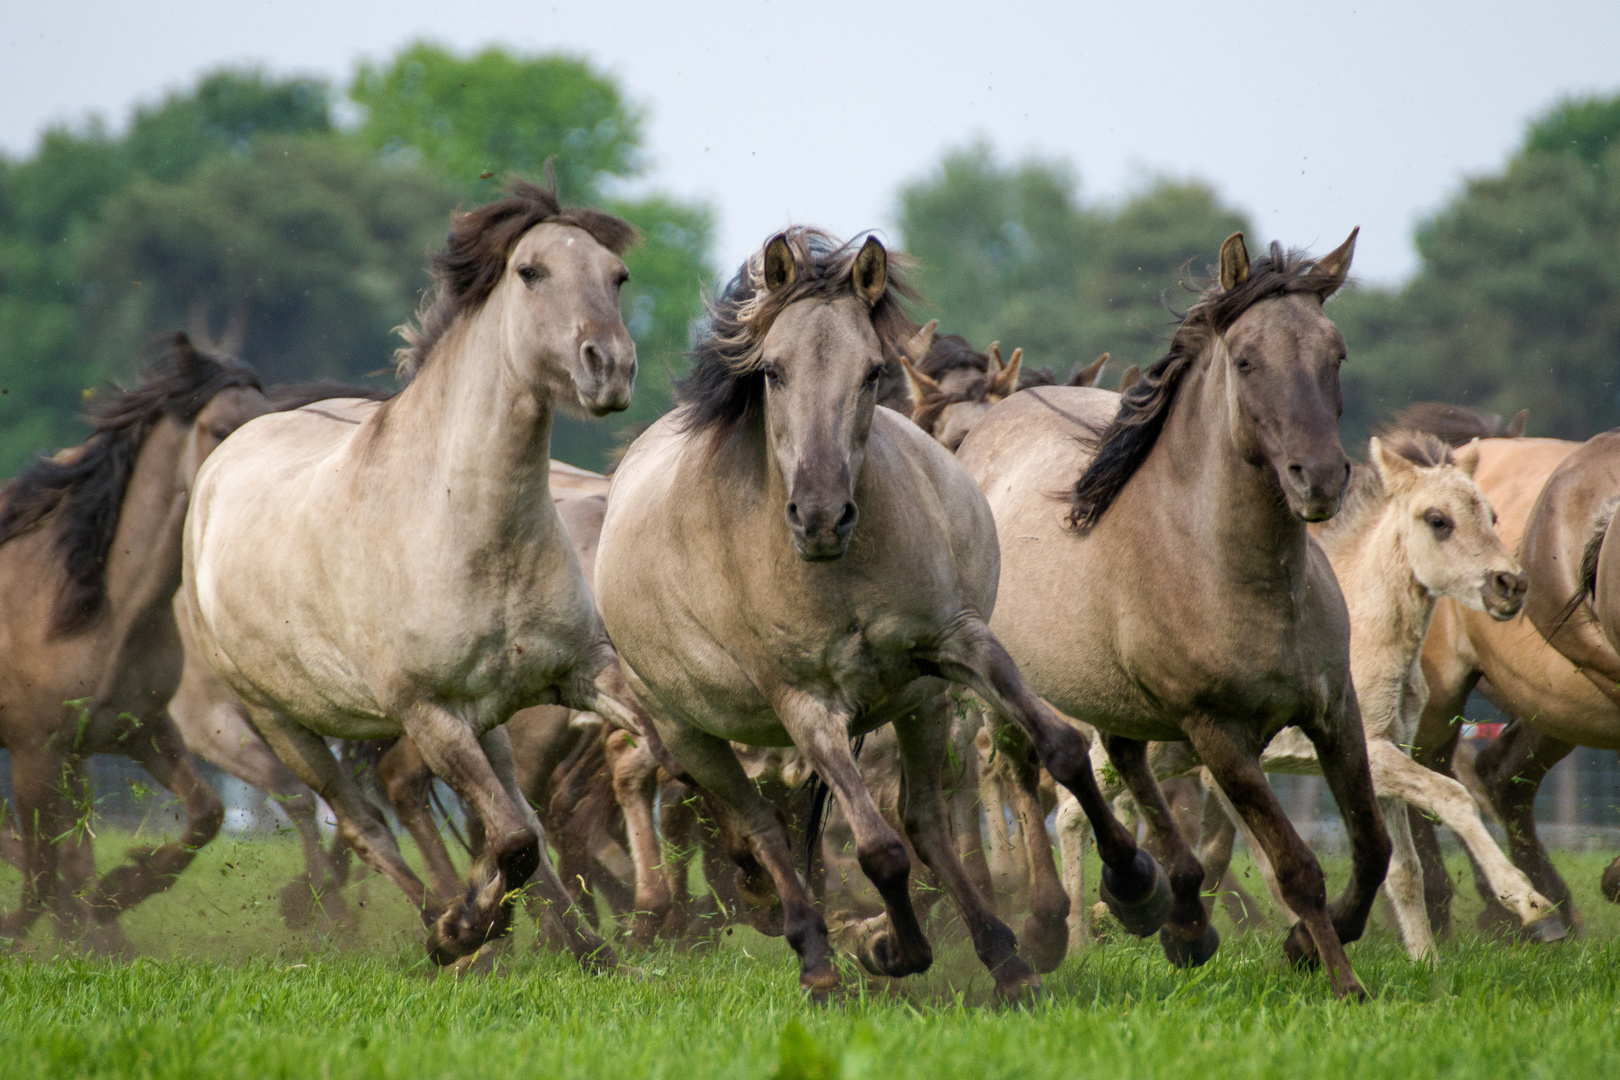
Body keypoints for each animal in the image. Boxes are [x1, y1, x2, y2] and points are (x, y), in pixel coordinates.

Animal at [180, 179, 654, 971]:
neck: (464, 523)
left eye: (617, 276)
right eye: (530, 272)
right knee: (364, 821)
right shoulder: (427, 712)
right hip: (283, 721)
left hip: (487, 718)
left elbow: (641, 754)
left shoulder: (581, 672)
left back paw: (581, 942)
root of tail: (222, 462)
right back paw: (442, 920)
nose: (610, 367)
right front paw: (464, 928)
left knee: (505, 812)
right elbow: (512, 840)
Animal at [959, 233, 1393, 1003]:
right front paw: (1340, 978)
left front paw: (1306, 944)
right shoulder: (1219, 732)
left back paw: (1175, 911)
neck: (1236, 571)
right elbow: (1296, 866)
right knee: (1021, 768)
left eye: (1335, 354)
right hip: (1006, 692)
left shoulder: (1334, 710)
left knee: (1126, 761)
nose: (1319, 478)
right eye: (1245, 360)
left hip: (1117, 693)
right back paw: (1049, 925)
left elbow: (1372, 847)